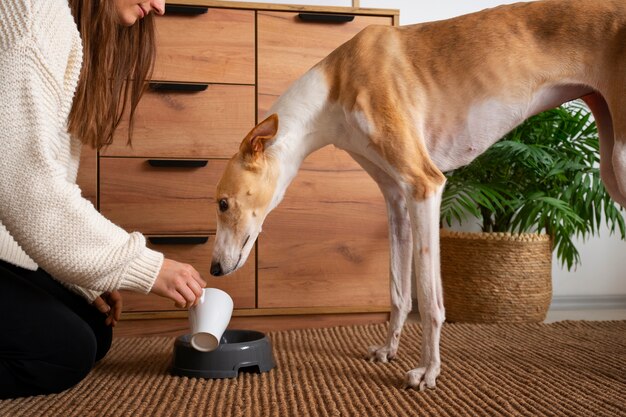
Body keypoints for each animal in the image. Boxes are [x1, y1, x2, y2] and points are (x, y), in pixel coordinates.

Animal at [208, 0, 620, 390]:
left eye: (223, 203)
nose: (213, 269)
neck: (333, 86)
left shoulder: (425, 186)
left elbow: (430, 297)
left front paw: (428, 371)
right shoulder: (396, 199)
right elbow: (399, 291)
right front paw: (388, 350)